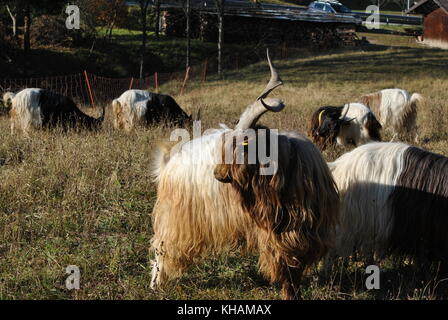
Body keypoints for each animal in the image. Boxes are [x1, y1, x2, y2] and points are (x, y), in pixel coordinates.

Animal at [150, 52, 340, 300]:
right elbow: (285, 269)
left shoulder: (302, 234)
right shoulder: (275, 235)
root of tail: (170, 160)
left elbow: (294, 273)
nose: (217, 174)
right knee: (163, 246)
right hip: (178, 217)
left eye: (241, 146)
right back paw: (156, 283)